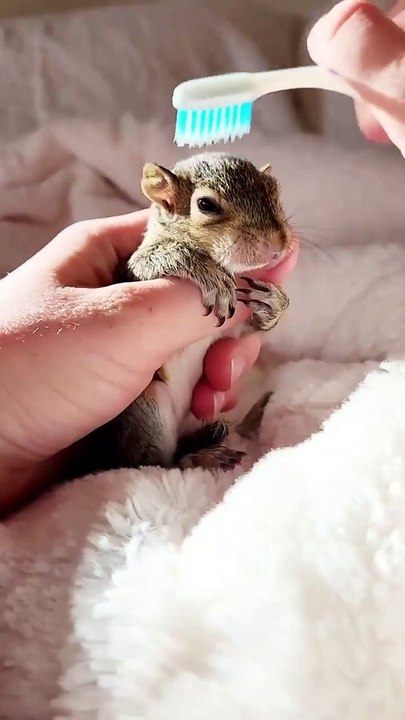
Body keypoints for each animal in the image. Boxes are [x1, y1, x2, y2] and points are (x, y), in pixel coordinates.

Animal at [70, 153, 291, 478]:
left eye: (275, 190)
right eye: (206, 205)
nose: (277, 246)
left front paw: (273, 304)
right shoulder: (134, 270)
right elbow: (159, 258)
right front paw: (207, 272)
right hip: (146, 410)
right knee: (155, 463)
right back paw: (201, 458)